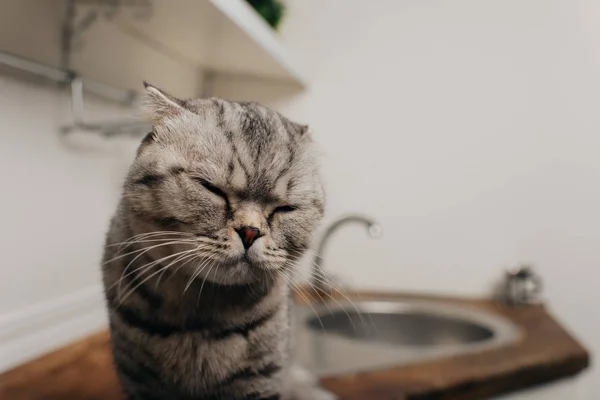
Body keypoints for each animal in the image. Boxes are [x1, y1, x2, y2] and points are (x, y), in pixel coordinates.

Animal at [99, 82, 332, 400]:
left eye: (285, 208)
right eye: (211, 188)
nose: (250, 232)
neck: (201, 317)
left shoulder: (261, 382)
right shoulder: (139, 383)